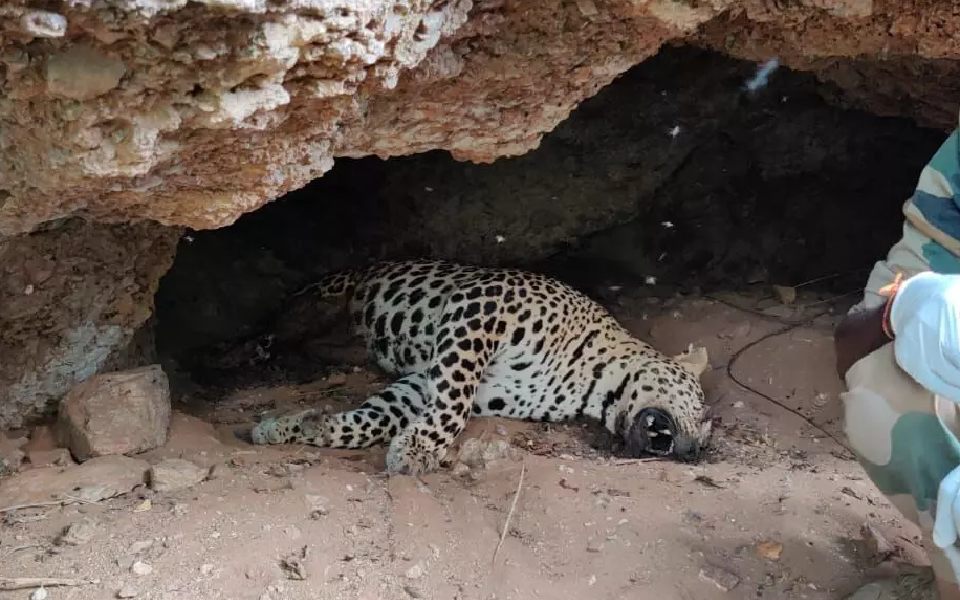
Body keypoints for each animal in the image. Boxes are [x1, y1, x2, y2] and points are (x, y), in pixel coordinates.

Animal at [251, 259, 711, 475]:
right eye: (704, 414)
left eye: (705, 440)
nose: (692, 454)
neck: (591, 383)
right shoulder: (480, 307)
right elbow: (452, 408)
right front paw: (416, 451)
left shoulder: (426, 383)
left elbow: (376, 418)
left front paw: (303, 426)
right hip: (324, 298)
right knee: (277, 330)